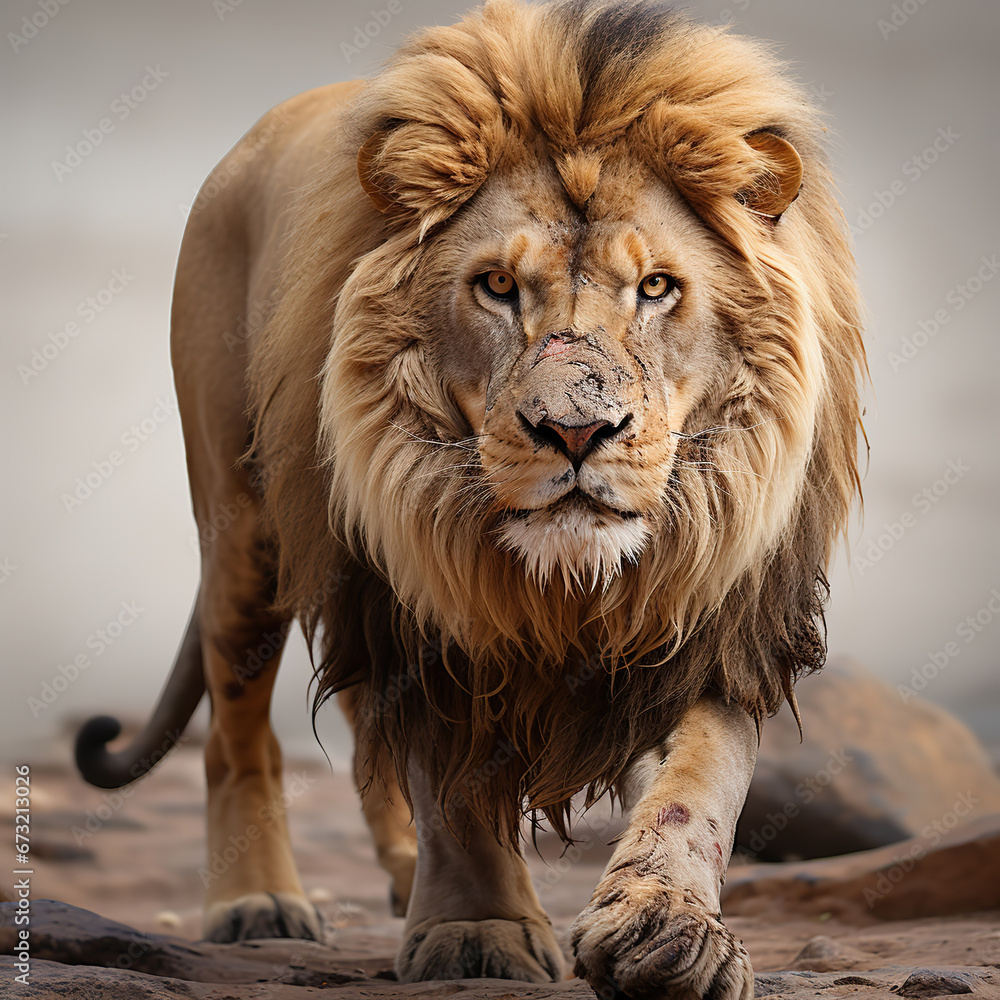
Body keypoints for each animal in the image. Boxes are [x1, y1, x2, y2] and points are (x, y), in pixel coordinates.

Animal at [75, 1, 866, 996]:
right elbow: (447, 779)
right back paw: (257, 903)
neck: (564, 585)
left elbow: (701, 779)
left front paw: (668, 933)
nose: (575, 432)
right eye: (496, 286)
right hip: (244, 531)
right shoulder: (415, 593)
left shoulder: (722, 603)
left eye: (656, 287)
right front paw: (479, 928)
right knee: (239, 732)